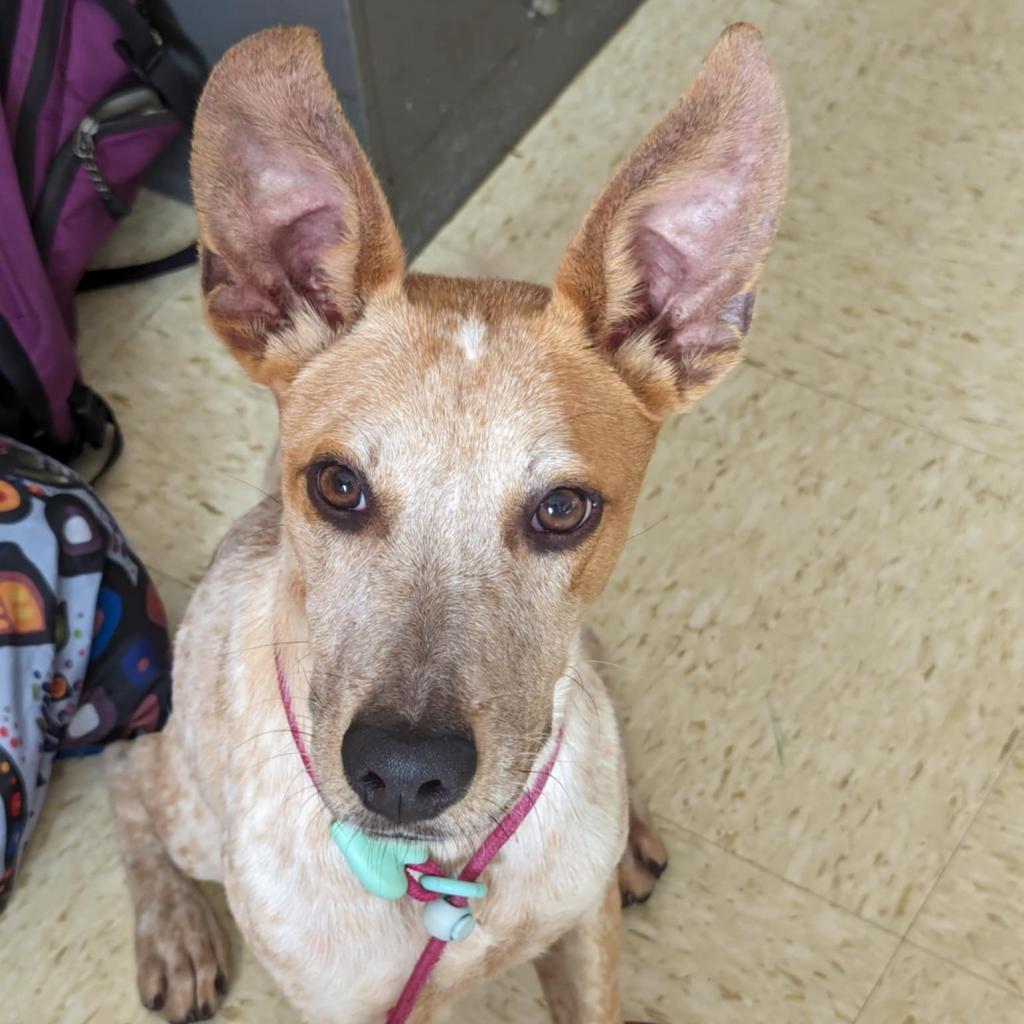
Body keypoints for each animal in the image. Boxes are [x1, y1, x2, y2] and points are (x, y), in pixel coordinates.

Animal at [108, 24, 786, 1024]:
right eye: (338, 485)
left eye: (563, 509)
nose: (401, 773)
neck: (444, 879)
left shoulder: (584, 939)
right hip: (185, 803)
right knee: (128, 774)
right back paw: (172, 927)